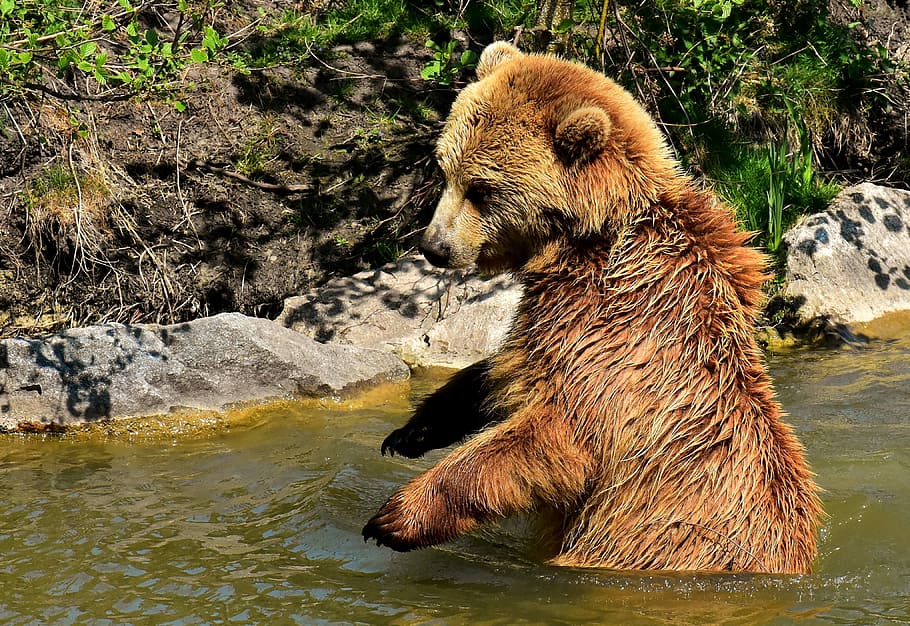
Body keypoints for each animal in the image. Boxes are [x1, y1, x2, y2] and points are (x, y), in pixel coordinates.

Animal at [364, 41, 828, 572]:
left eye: (482, 190)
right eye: (445, 169)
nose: (434, 247)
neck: (588, 241)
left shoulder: (616, 339)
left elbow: (553, 436)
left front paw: (396, 516)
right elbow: (499, 373)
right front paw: (411, 431)